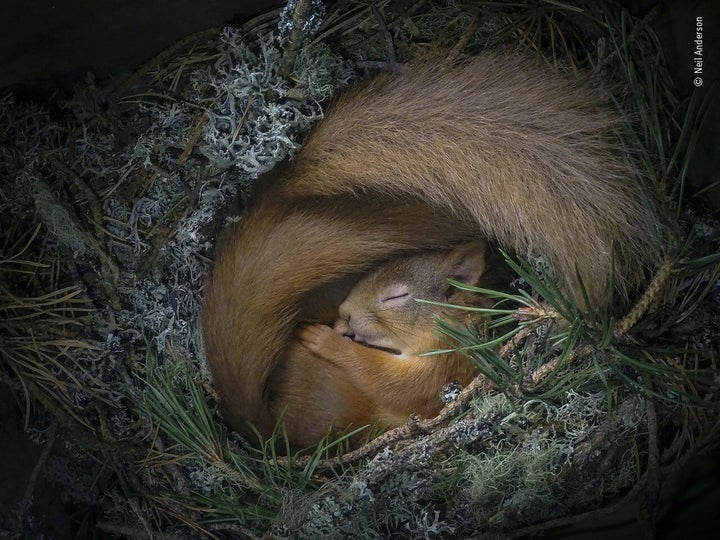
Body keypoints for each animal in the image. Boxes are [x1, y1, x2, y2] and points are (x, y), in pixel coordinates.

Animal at [200, 52, 660, 452]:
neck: (456, 324)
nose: (344, 314)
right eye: (370, 274)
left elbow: (391, 383)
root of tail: (262, 430)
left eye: (397, 296)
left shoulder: (445, 367)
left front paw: (326, 339)